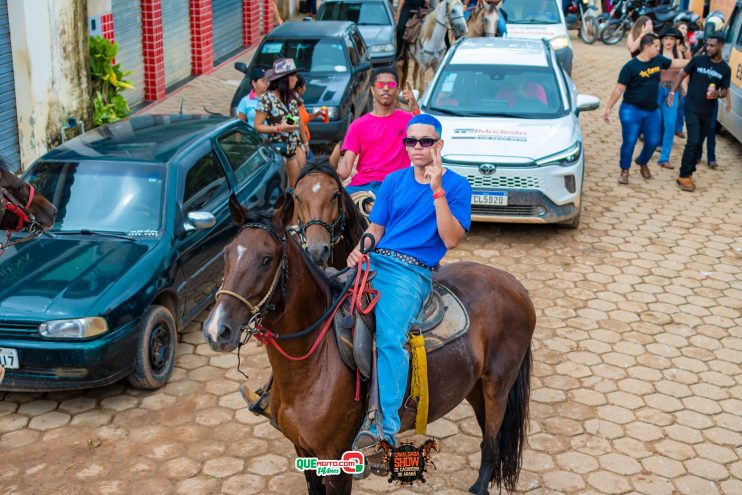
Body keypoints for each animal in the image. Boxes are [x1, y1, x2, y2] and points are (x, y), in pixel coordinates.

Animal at [205, 197, 536, 492]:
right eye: (226, 254)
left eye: (266, 259)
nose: (217, 330)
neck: (313, 364)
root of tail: (514, 284)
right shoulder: (302, 450)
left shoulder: (338, 465)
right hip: (475, 387)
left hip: (497, 386)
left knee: (492, 443)